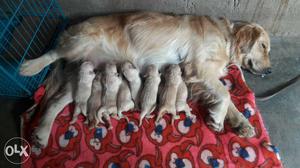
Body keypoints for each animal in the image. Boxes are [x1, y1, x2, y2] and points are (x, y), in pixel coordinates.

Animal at [19, 11, 270, 138]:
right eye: (264, 46)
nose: (269, 70)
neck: (226, 36)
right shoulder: (198, 67)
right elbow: (225, 95)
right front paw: (217, 118)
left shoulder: (199, 78)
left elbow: (228, 100)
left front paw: (241, 124)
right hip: (80, 42)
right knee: (53, 53)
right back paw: (28, 66)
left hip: (83, 75)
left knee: (54, 102)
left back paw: (41, 134)